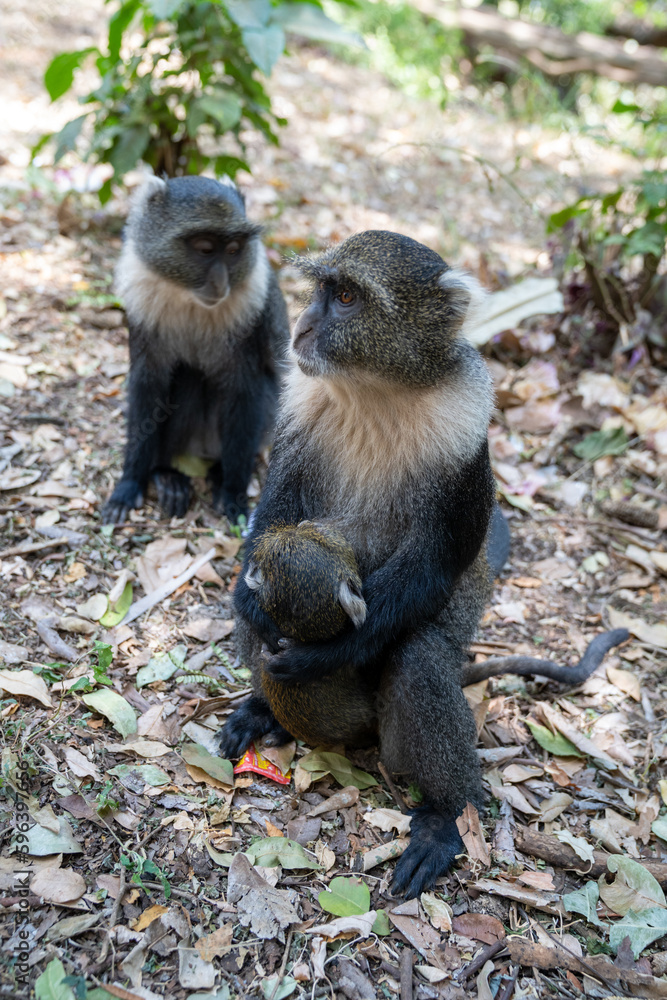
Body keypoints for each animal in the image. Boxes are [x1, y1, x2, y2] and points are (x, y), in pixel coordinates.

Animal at [102, 175, 289, 525]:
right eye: (205, 249)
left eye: (233, 250)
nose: (221, 284)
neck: (189, 298)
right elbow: (147, 384)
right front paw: (129, 483)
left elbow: (244, 390)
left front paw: (232, 493)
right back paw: (166, 474)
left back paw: (217, 473)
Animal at [215, 230, 629, 899]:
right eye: (322, 289)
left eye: (347, 297)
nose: (304, 325)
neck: (376, 388)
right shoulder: (297, 414)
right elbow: (274, 515)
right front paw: (258, 612)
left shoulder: (466, 434)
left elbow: (433, 566)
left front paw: (319, 657)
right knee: (254, 621)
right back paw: (262, 705)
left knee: (421, 661)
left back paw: (445, 819)